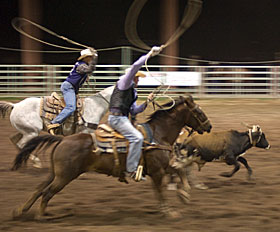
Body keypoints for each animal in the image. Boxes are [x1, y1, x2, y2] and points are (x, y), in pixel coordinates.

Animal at [12, 95, 211, 218]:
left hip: (56, 173)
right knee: (46, 193)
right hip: (64, 176)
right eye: (199, 112)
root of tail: (62, 139)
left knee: (39, 189)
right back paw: (40, 216)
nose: (209, 126)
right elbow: (161, 191)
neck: (158, 134)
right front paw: (170, 211)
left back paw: (21, 210)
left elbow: (179, 170)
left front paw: (184, 194)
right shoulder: (157, 171)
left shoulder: (161, 168)